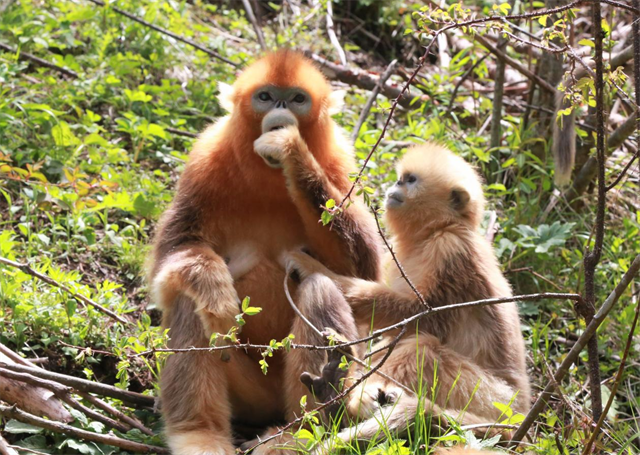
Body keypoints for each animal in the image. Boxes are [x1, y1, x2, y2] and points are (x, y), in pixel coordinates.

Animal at [148, 50, 382, 455]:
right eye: (266, 96)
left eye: (298, 98)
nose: (281, 108)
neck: (268, 178)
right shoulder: (205, 160)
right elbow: (173, 253)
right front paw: (214, 287)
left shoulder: (340, 161)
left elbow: (365, 271)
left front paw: (291, 151)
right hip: (250, 396)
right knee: (190, 301)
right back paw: (198, 432)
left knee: (319, 288)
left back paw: (303, 428)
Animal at [284, 143, 528, 448]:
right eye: (401, 178)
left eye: (410, 180)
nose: (395, 185)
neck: (434, 232)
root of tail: (520, 417)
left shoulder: (450, 250)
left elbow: (420, 316)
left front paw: (314, 268)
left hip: (492, 399)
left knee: (422, 348)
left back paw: (344, 406)